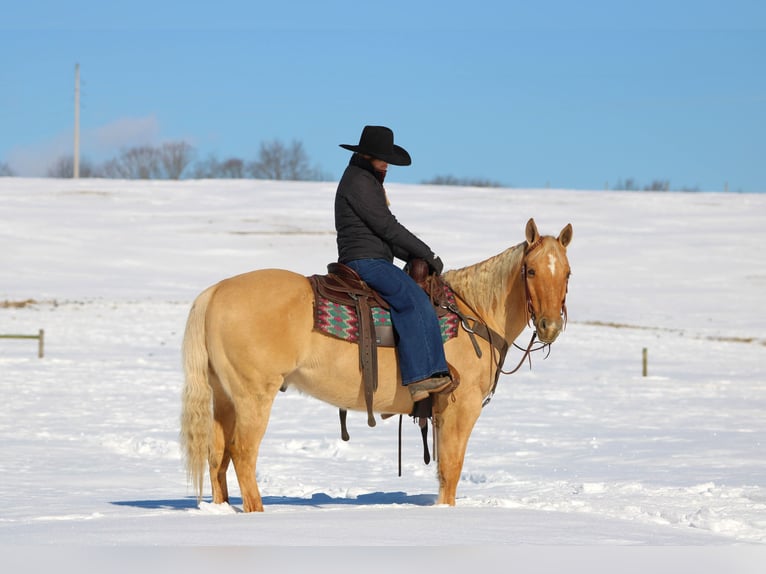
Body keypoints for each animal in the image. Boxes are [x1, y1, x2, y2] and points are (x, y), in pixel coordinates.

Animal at [180, 218, 573, 512]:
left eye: (567, 273)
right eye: (531, 271)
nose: (550, 326)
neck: (472, 314)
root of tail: (215, 292)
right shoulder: (460, 407)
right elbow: (452, 468)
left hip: (225, 396)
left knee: (217, 455)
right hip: (253, 396)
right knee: (243, 453)